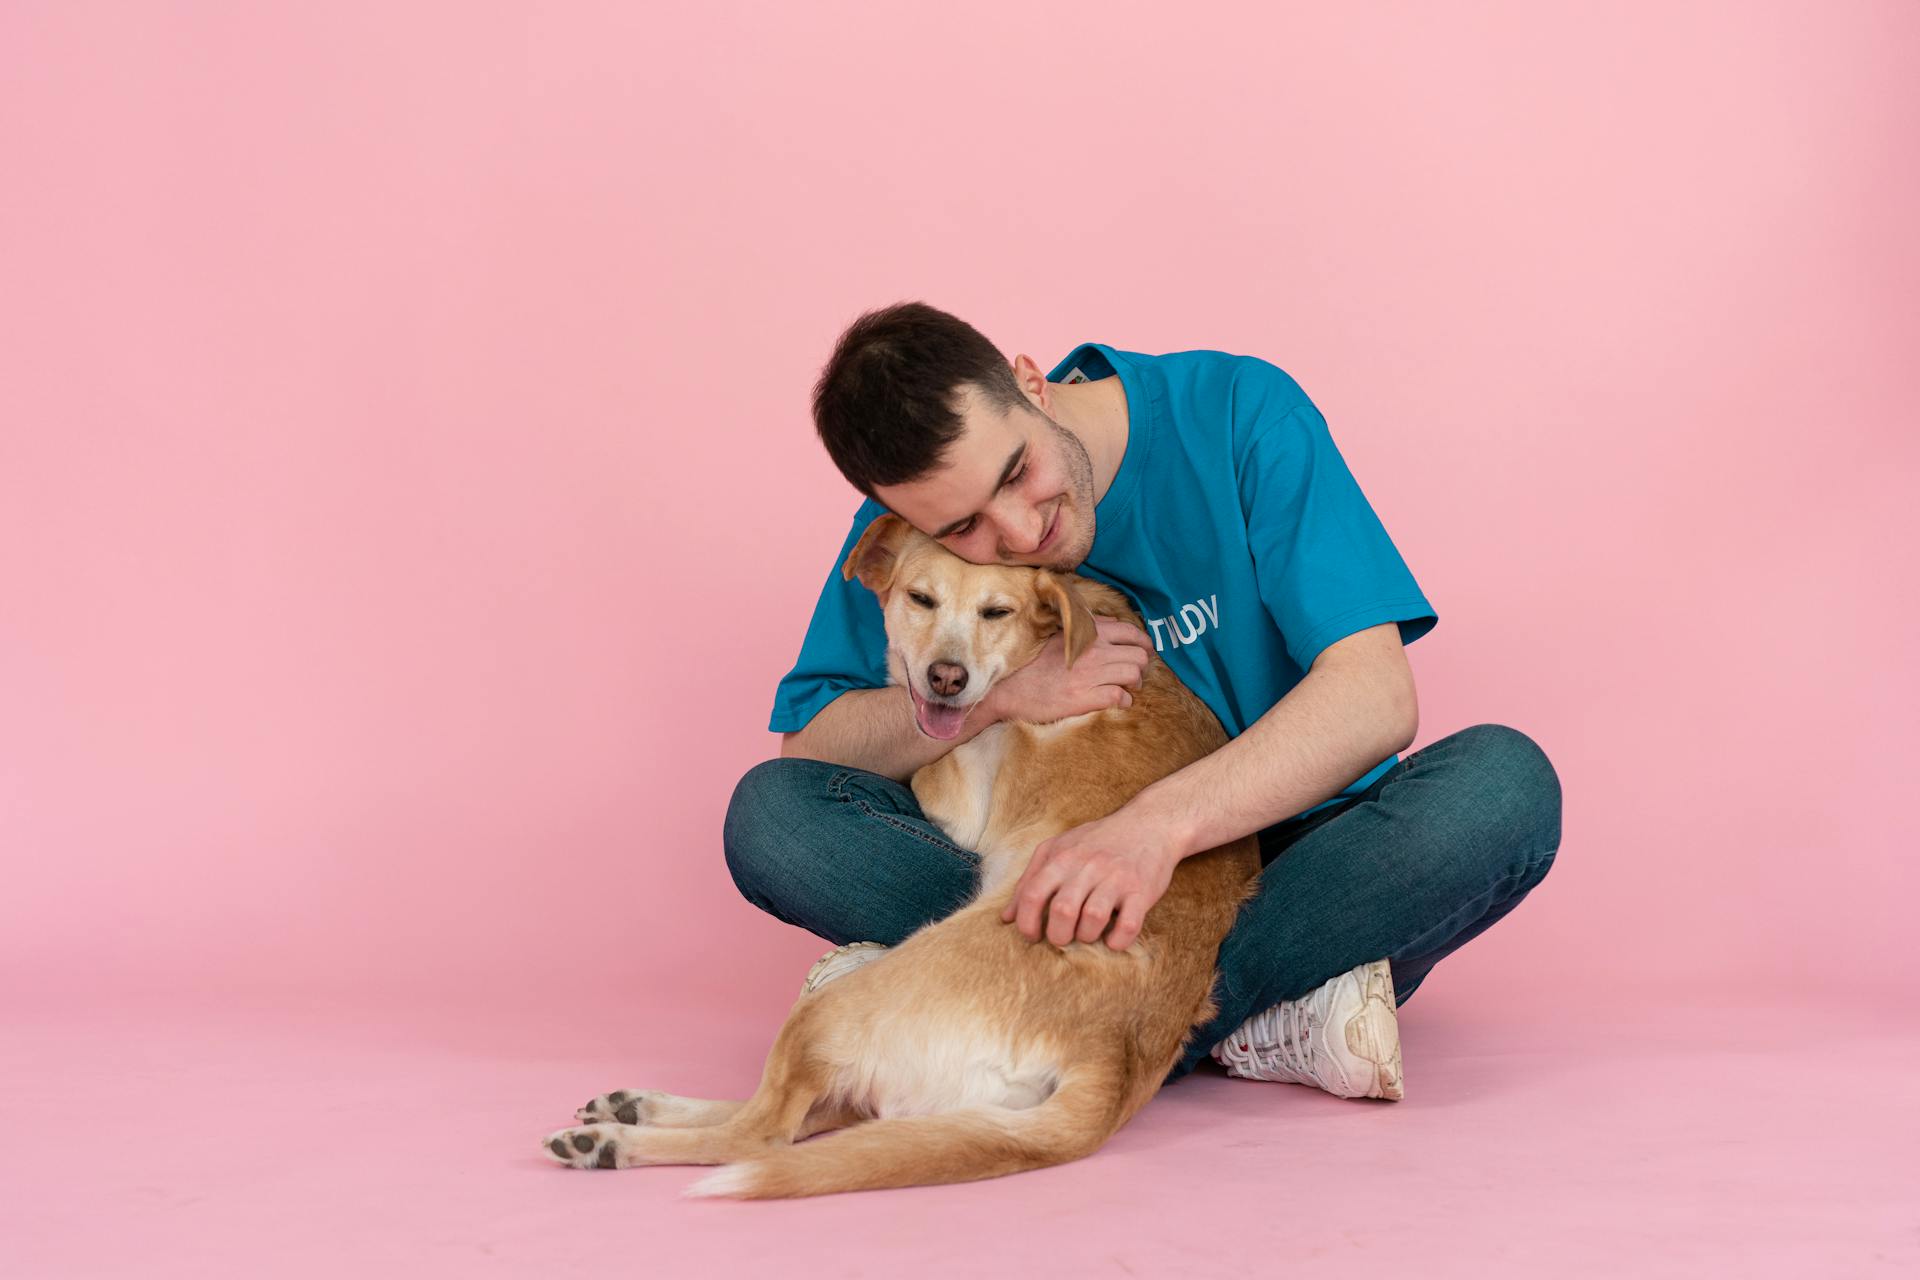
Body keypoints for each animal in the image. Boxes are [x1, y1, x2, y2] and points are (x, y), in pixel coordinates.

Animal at [537, 514, 1259, 1197]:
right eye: (921, 599)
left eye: (996, 613)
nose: (948, 678)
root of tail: (1113, 1057)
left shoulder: (961, 789)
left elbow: (933, 767)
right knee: (816, 1115)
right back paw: (635, 1108)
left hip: (832, 1010)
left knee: (762, 1136)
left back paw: (614, 1143)